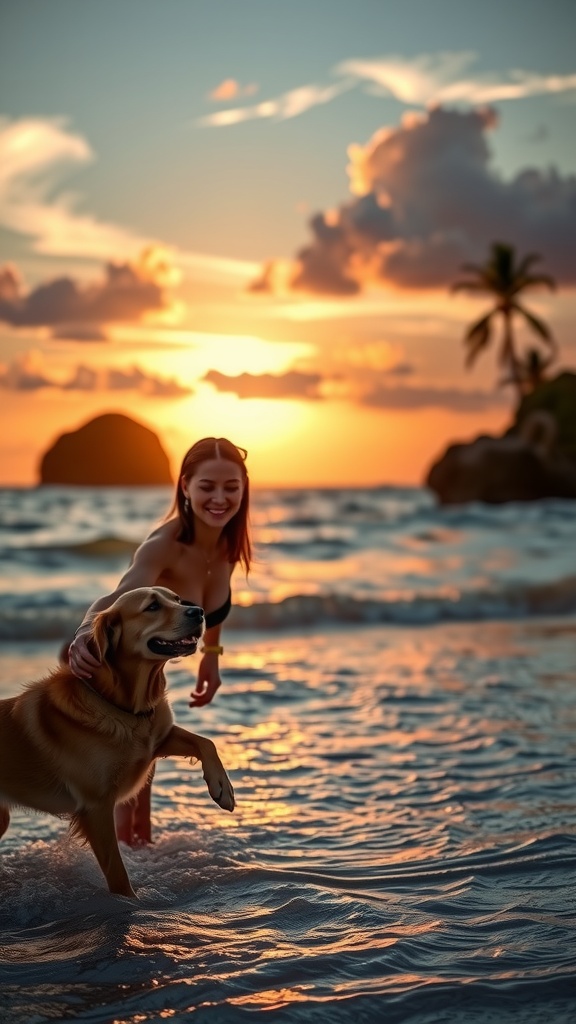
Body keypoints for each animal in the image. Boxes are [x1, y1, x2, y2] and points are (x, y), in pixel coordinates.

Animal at [0, 585, 233, 897]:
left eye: (178, 599)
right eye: (152, 607)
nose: (199, 612)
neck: (124, 706)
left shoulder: (156, 741)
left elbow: (205, 741)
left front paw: (222, 788)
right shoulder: (96, 807)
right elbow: (117, 873)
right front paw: (131, 903)